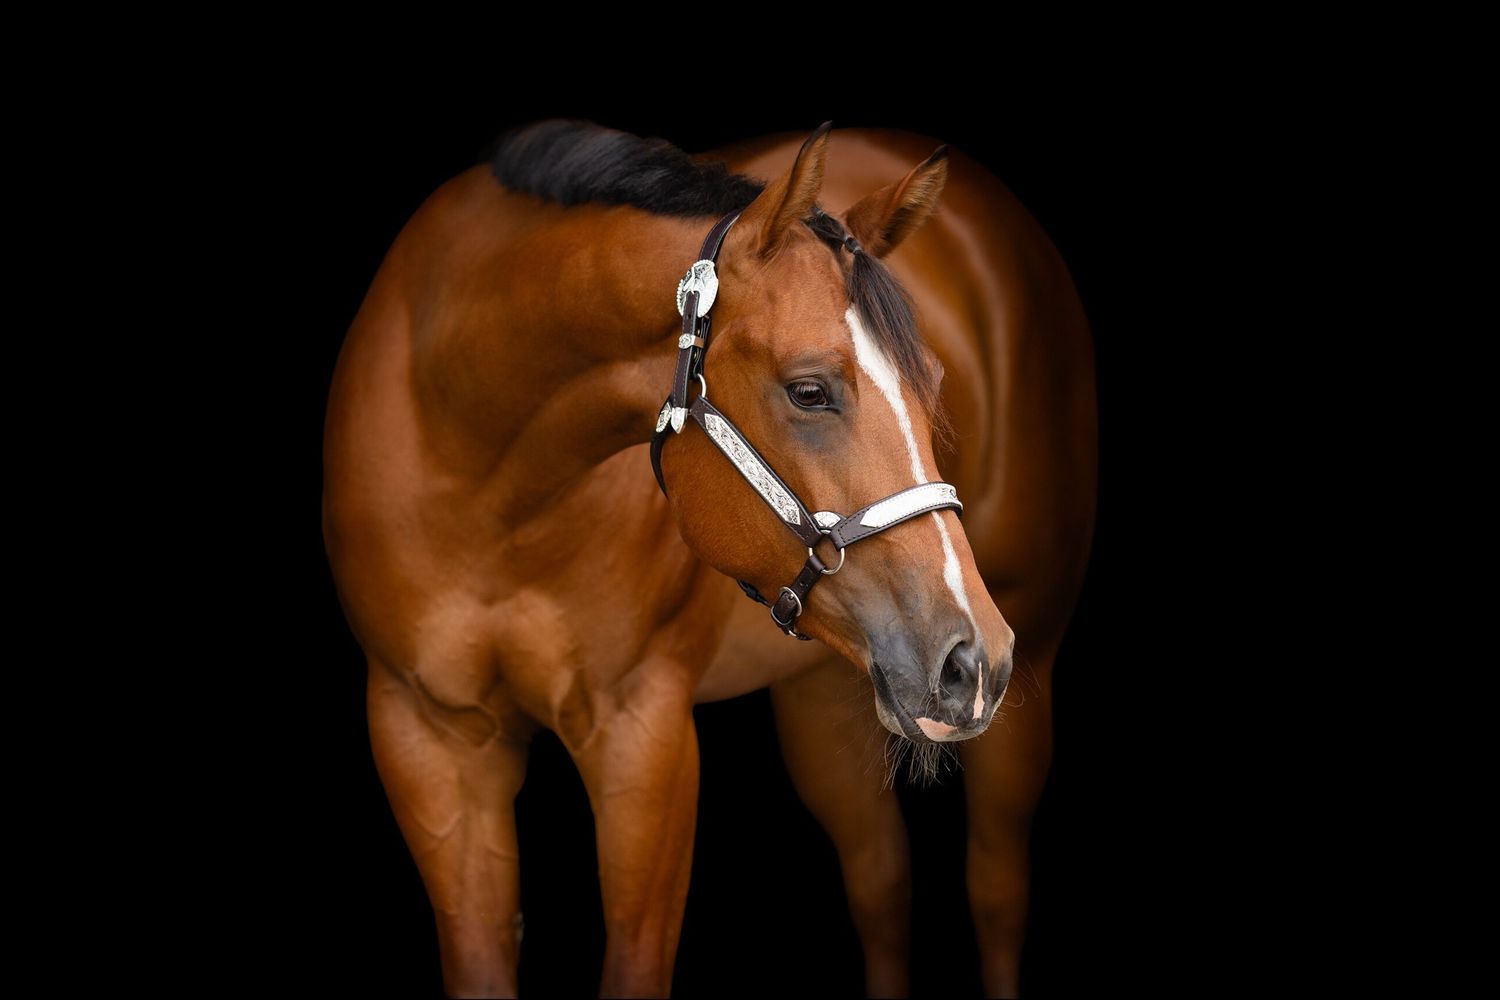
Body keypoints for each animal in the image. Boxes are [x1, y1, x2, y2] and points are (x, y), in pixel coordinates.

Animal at [323, 119, 1094, 998]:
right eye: (808, 390)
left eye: (932, 383)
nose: (974, 657)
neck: (474, 469)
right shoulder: (427, 738)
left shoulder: (645, 735)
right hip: (824, 691)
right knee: (881, 887)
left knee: (996, 892)